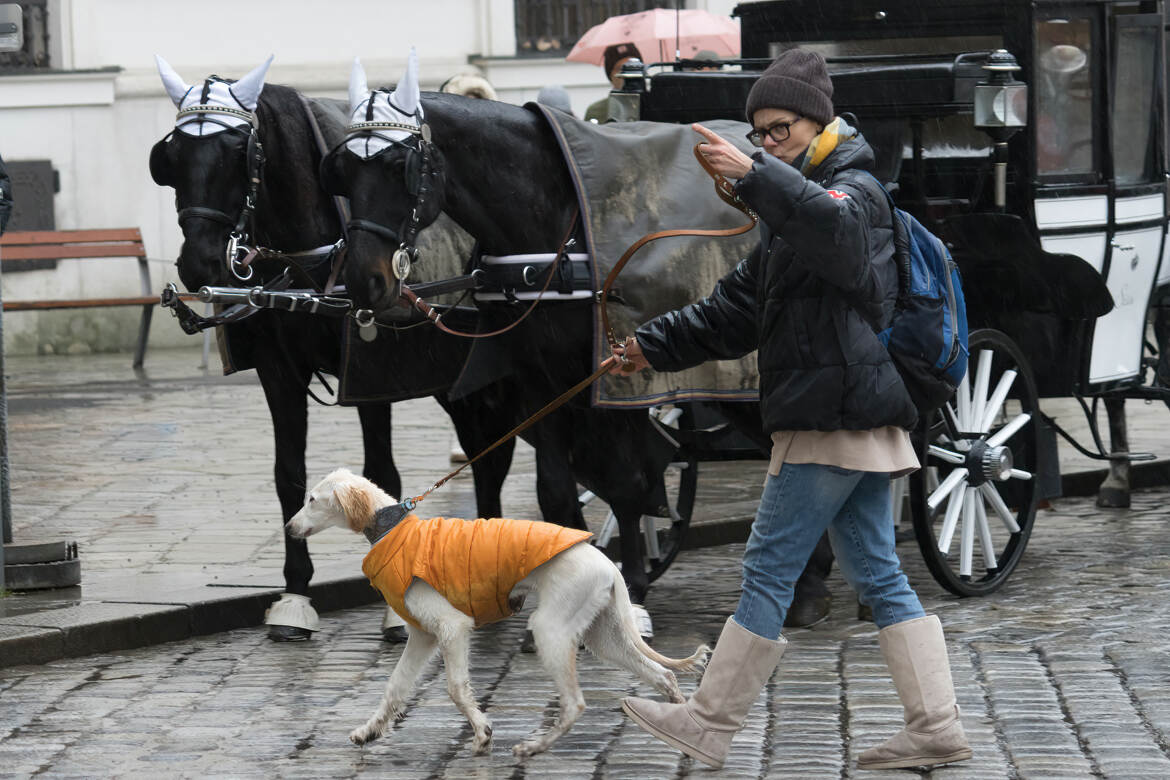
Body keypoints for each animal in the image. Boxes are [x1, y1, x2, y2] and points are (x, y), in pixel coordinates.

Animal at [149, 67, 517, 640]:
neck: (310, 263)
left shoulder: (370, 370)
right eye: (173, 156)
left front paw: (394, 607)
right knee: (487, 451)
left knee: (499, 452)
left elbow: (380, 473)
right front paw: (295, 597)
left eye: (237, 152)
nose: (199, 262)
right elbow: (289, 475)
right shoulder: (278, 372)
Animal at [285, 470, 702, 757]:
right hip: (602, 637)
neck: (393, 529)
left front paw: (482, 732)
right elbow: (396, 687)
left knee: (575, 703)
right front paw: (369, 731)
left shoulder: (452, 627)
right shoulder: (422, 635)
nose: (288, 528)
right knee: (663, 675)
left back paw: (534, 746)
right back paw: (683, 728)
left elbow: (456, 688)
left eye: (311, 499)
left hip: (550, 629)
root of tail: (608, 563)